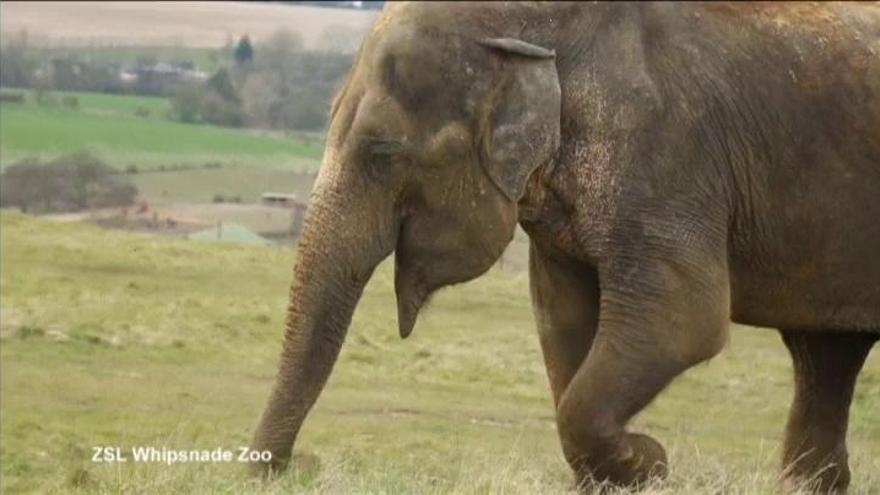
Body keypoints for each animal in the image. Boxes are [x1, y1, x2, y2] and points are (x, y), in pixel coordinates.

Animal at [252, 2, 880, 492]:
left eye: (382, 153)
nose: (289, 468)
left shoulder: (669, 157)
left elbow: (682, 321)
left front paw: (651, 464)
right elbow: (564, 317)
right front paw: (629, 472)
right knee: (825, 353)